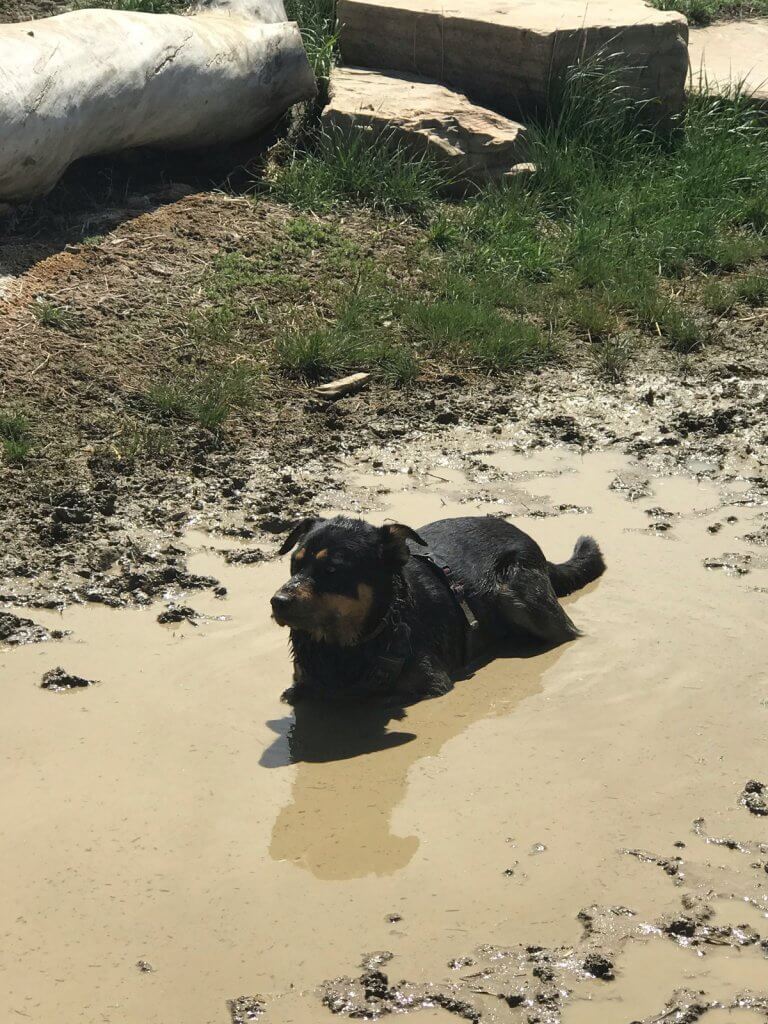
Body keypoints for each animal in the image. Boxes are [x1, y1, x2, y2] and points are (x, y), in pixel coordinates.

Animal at [272, 512, 606, 704]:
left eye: (332, 571)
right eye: (294, 565)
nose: (278, 602)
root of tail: (535, 546)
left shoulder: (430, 686)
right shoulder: (300, 685)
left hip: (518, 591)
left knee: (566, 631)